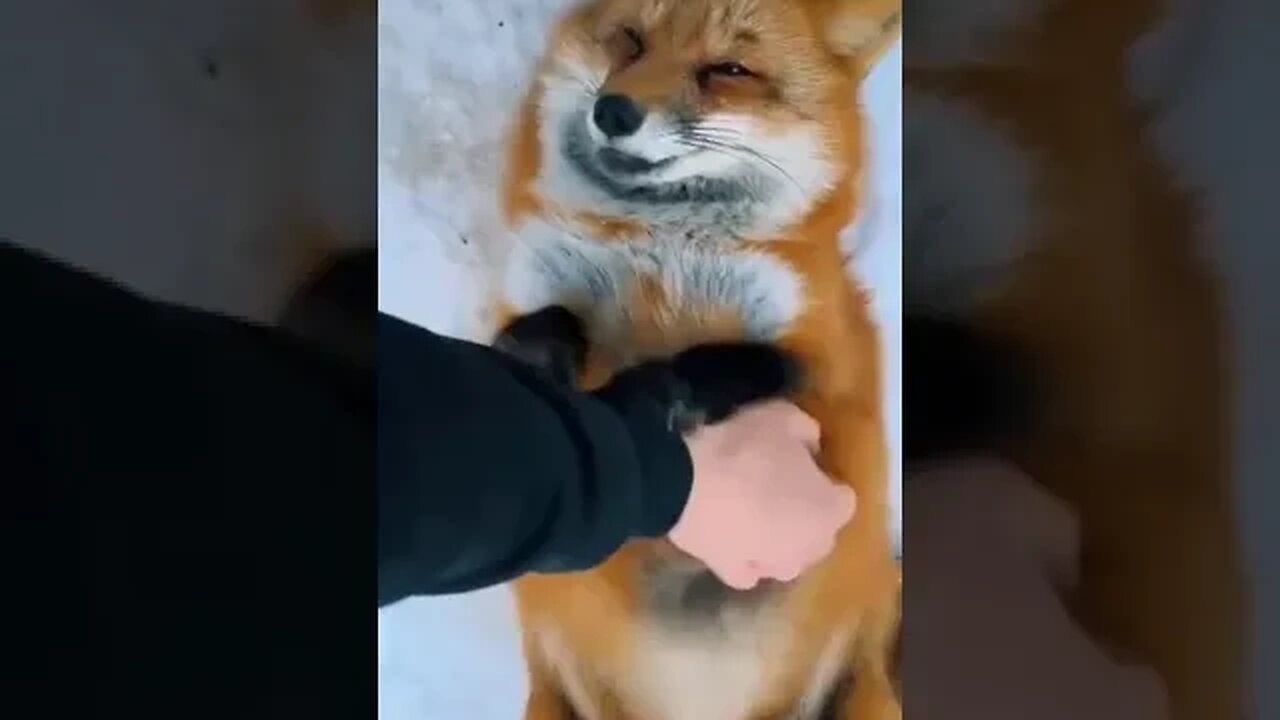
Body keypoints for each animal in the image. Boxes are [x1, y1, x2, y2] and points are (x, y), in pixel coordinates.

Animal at [486, 1, 905, 718]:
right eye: (630, 40)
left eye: (728, 70)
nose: (615, 110)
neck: (660, 251)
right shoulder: (523, 301)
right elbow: (546, 328)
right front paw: (559, 379)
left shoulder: (827, 376)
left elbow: (719, 363)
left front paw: (651, 397)